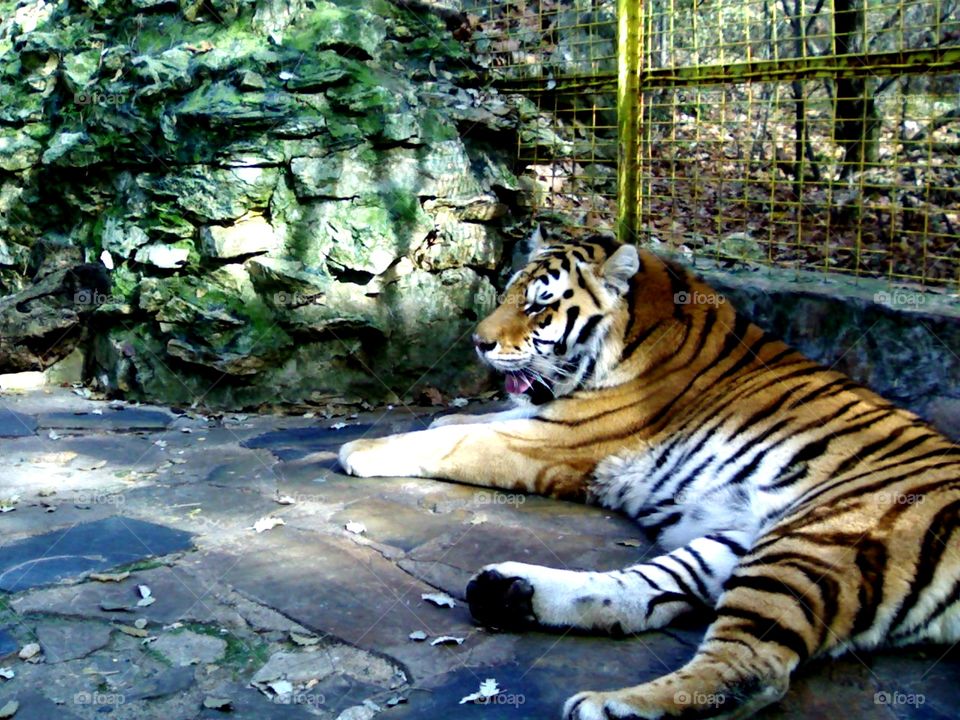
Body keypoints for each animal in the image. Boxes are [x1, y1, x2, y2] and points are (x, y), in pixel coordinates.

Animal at [338, 231, 960, 719]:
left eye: (539, 308)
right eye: (509, 294)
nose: (478, 343)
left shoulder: (556, 440)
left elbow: (456, 438)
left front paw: (359, 448)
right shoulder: (548, 417)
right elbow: (470, 417)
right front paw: (439, 413)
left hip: (818, 539)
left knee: (752, 667)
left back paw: (612, 706)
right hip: (744, 541)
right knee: (642, 596)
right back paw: (508, 592)